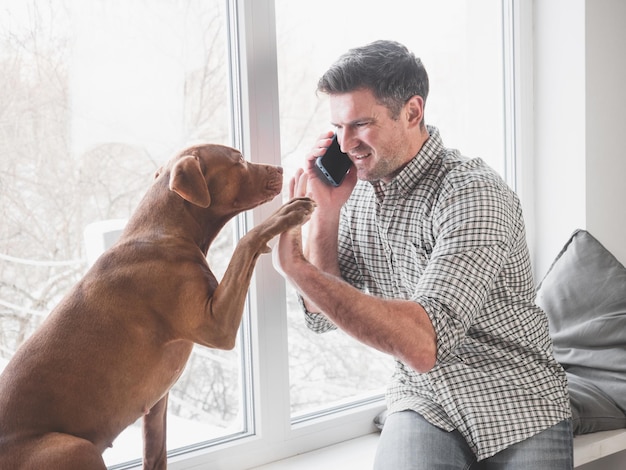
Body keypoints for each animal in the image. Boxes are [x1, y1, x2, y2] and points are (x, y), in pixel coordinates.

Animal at [0, 145, 314, 468]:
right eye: (238, 159)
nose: (279, 168)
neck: (166, 231)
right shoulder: (216, 325)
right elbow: (245, 242)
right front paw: (285, 214)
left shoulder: (155, 407)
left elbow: (155, 454)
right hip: (75, 447)